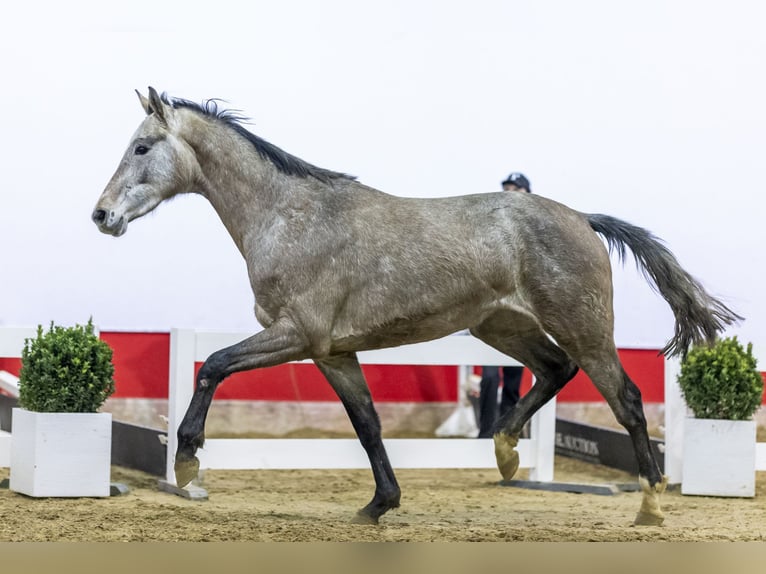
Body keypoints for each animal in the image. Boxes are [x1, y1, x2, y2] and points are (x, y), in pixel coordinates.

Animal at [93, 88, 740, 528]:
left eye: (141, 146)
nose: (102, 215)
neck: (288, 216)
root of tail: (583, 218)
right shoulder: (333, 352)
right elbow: (368, 424)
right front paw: (380, 504)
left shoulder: (296, 335)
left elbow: (213, 366)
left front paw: (187, 465)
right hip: (502, 326)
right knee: (556, 370)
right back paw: (506, 451)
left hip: (583, 328)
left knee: (625, 398)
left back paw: (650, 505)